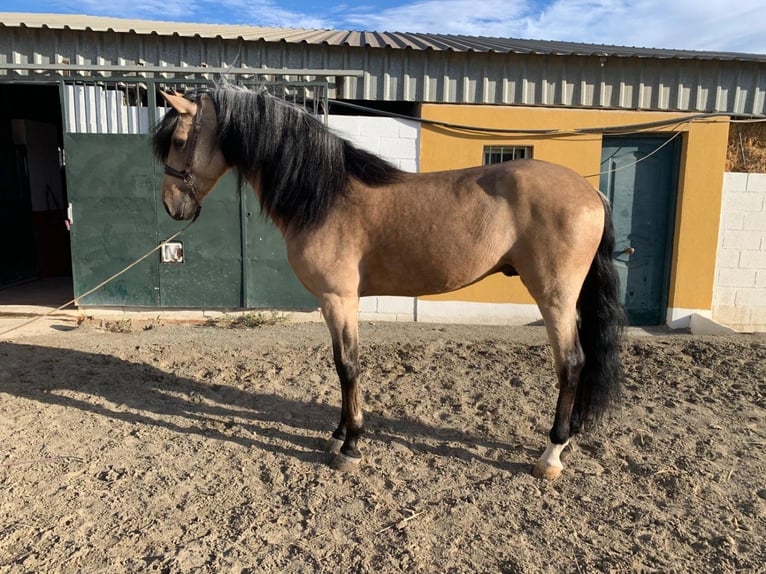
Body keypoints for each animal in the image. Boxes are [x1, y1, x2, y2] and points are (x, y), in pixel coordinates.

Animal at [153, 85, 628, 482]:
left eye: (178, 141)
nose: (171, 206)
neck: (326, 195)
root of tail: (591, 193)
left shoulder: (339, 299)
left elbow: (348, 366)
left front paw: (351, 446)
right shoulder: (334, 302)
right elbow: (340, 365)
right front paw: (336, 435)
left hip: (556, 298)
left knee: (571, 363)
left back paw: (552, 453)